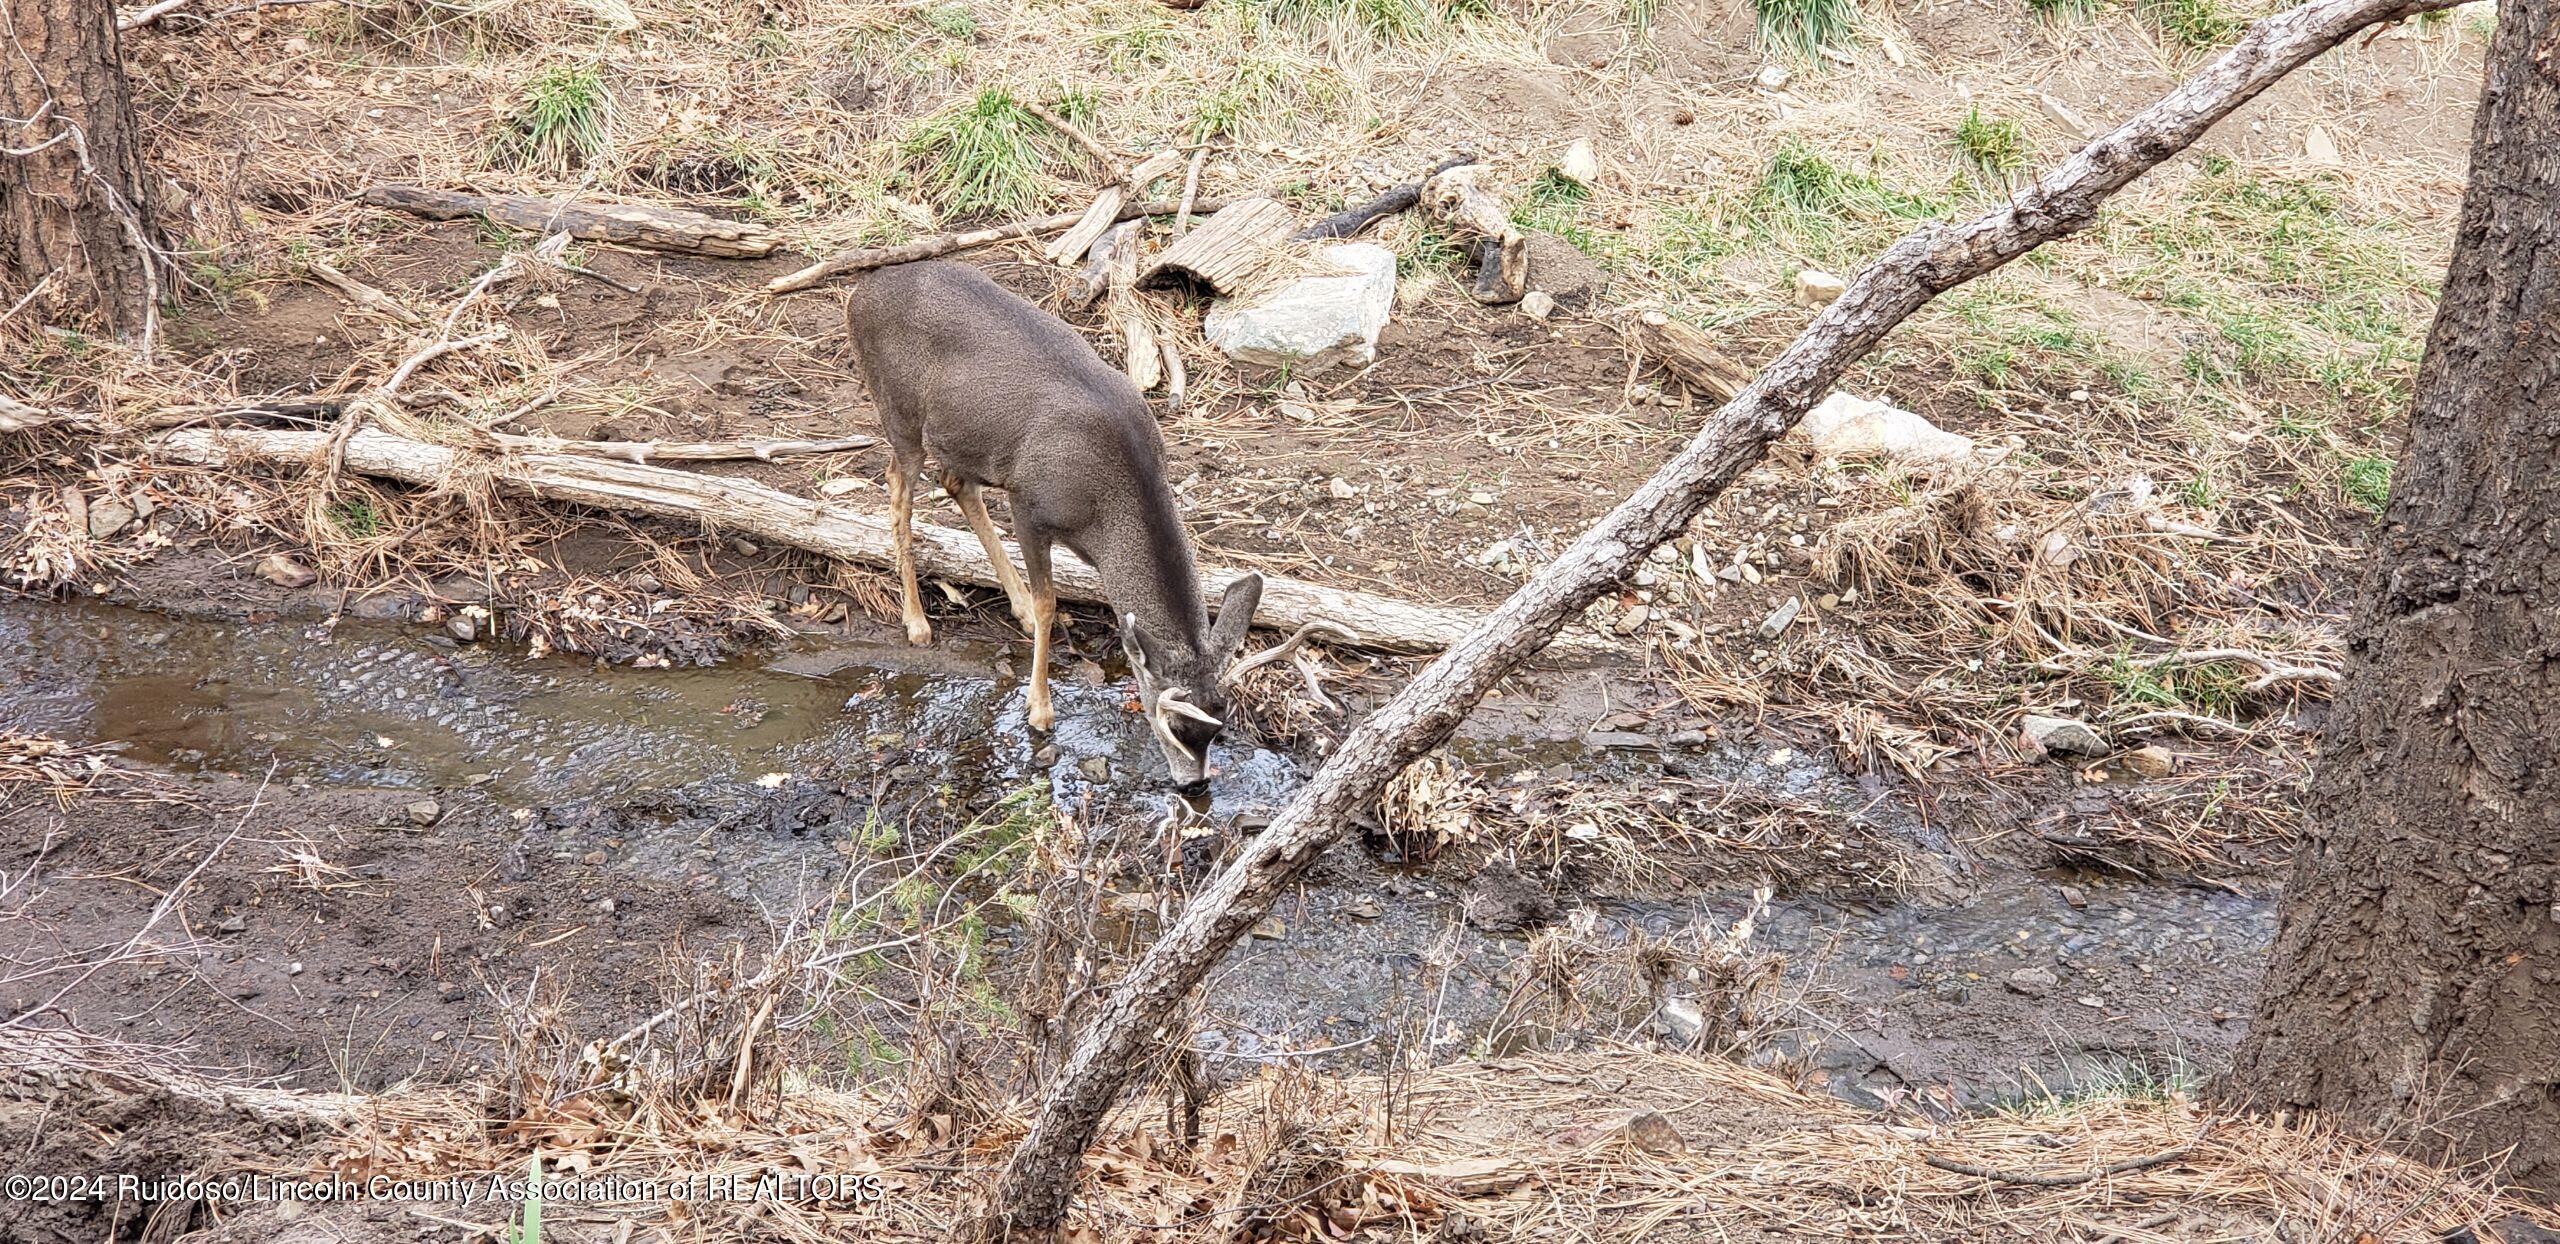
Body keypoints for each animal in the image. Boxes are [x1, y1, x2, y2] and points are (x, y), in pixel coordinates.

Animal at [844, 259, 1274, 798]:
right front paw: (1040, 708)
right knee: (898, 488)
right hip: (898, 410)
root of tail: (858, 293)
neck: (1105, 516)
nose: (1195, 786)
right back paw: (918, 622)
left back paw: (1015, 609)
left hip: (961, 436)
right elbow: (1050, 601)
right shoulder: (1028, 503)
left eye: (1220, 720)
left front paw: (1031, 627)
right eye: (1175, 724)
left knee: (954, 482)